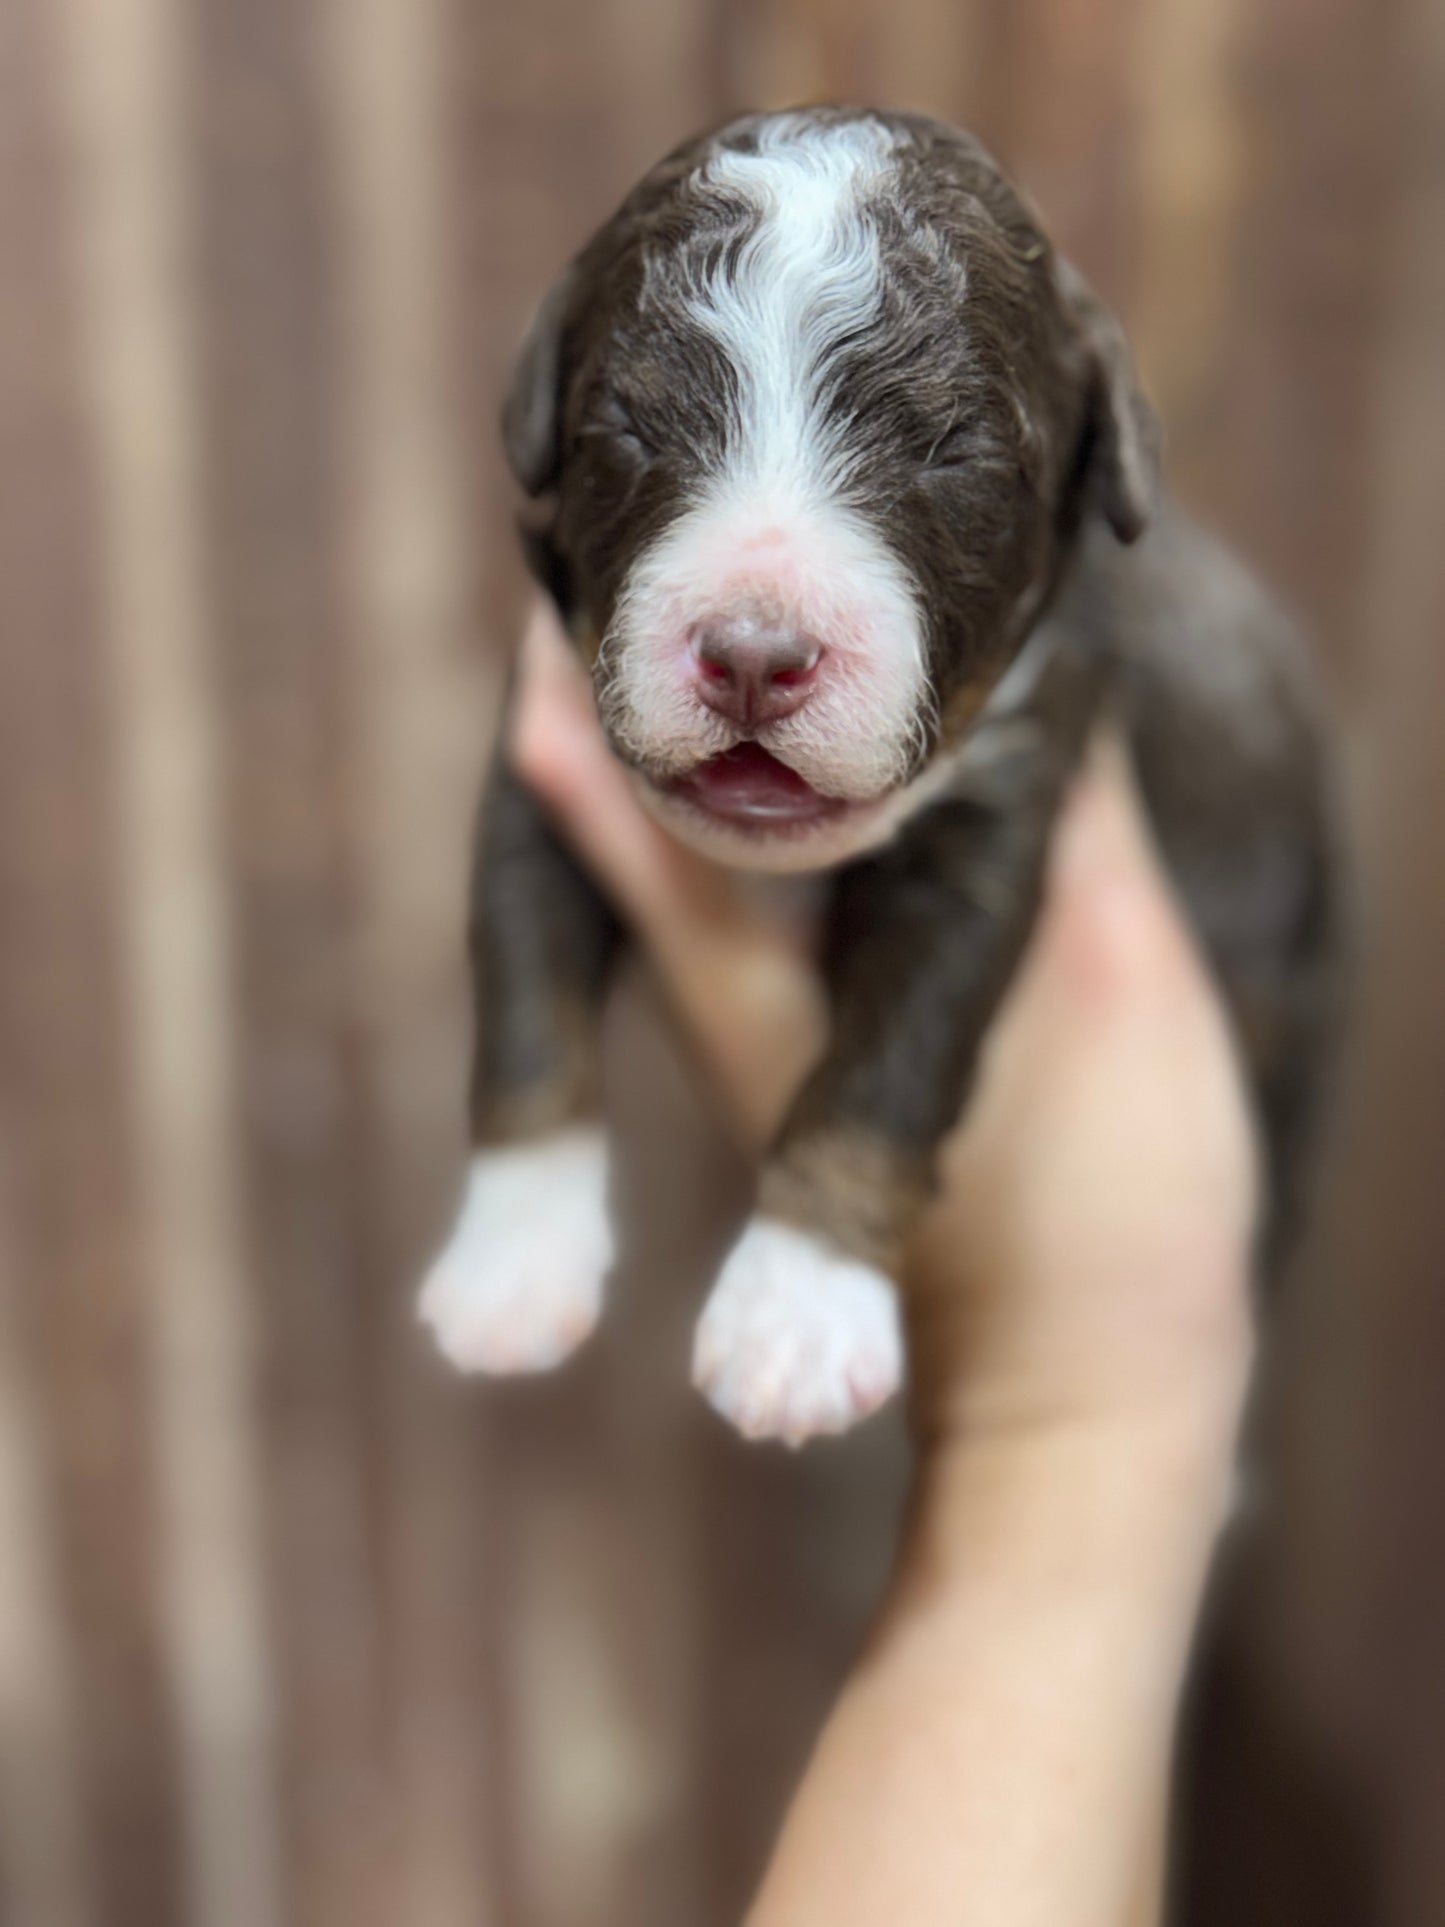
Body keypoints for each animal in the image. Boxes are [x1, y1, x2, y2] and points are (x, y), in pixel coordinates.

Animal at [416, 97, 1348, 1441]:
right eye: (625, 428)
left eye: (952, 452)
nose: (753, 657)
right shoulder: (541, 774)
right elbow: (529, 995)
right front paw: (513, 1257)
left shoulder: (990, 830)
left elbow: (887, 1061)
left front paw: (797, 1309)